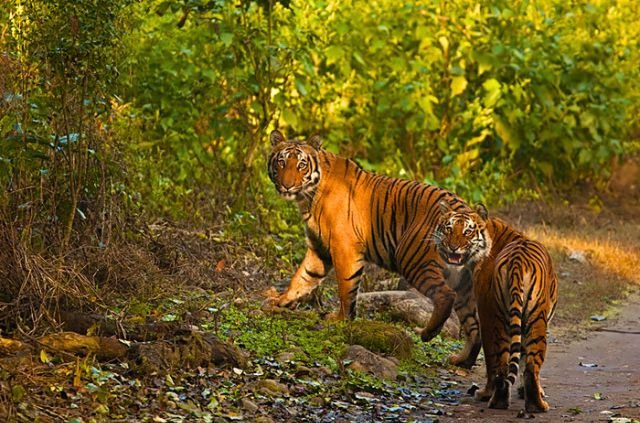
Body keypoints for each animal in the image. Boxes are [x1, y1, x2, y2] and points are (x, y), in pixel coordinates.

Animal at [266, 129, 481, 368]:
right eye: (281, 162)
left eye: (301, 165)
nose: (286, 185)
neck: (307, 196)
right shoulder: (319, 249)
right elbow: (303, 277)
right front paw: (281, 300)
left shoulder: (344, 248)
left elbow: (346, 289)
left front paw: (340, 320)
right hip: (463, 283)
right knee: (475, 327)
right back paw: (462, 360)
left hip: (413, 259)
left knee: (446, 295)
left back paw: (427, 334)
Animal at [434, 201, 558, 412]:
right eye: (448, 228)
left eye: (467, 231)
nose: (453, 248)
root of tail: (517, 262)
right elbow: (522, 357)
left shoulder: (486, 312)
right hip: (535, 319)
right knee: (531, 364)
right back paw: (535, 404)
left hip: (498, 319)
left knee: (499, 364)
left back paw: (491, 397)